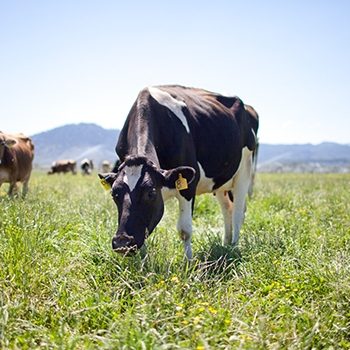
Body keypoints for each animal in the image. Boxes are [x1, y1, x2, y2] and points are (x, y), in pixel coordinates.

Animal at [98, 85, 258, 258]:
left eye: (151, 193)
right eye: (114, 194)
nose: (122, 243)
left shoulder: (189, 186)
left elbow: (184, 230)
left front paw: (188, 262)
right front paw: (143, 260)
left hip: (245, 169)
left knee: (238, 213)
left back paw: (234, 248)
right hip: (221, 182)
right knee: (227, 209)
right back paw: (226, 244)